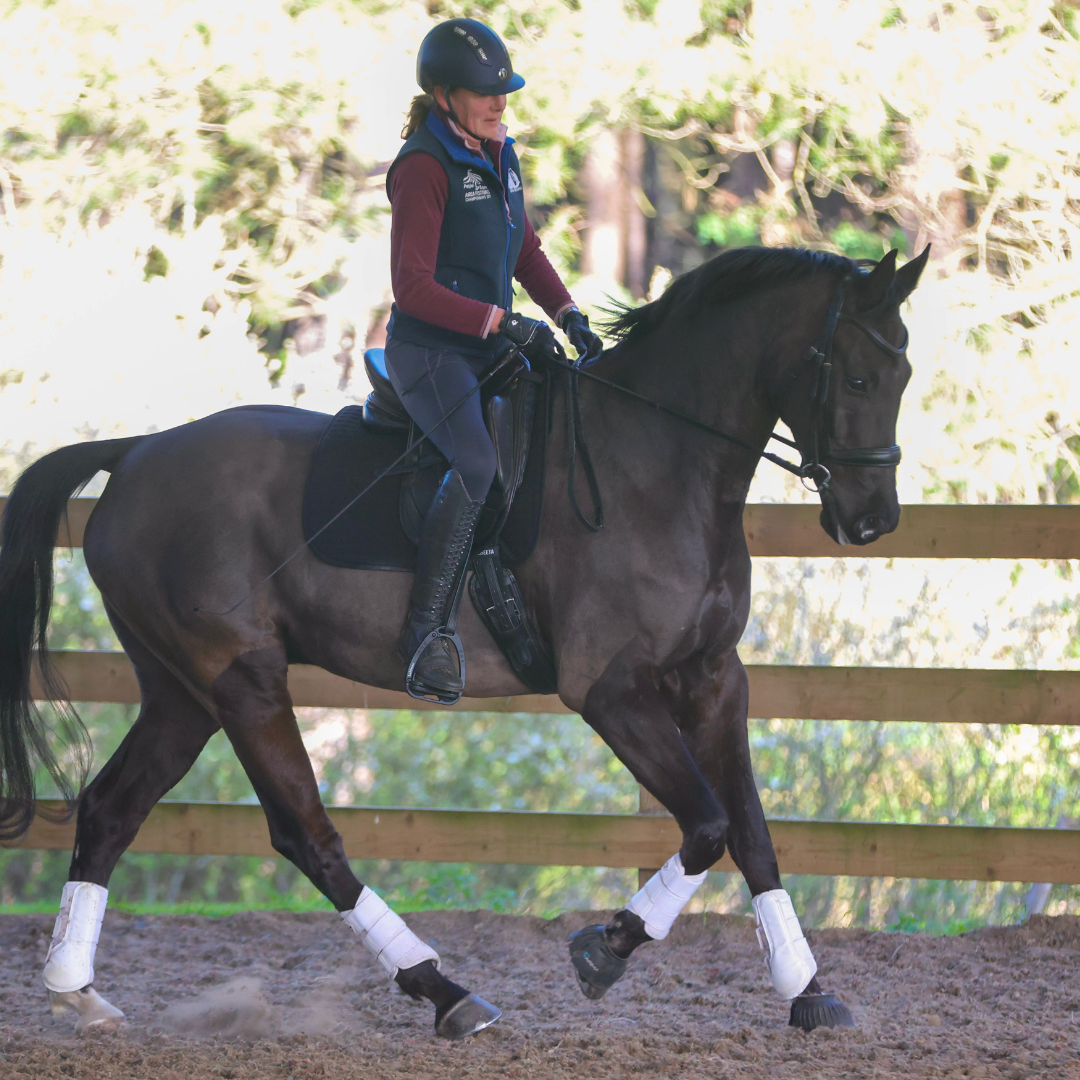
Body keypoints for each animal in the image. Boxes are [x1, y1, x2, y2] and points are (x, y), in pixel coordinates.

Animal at [0, 243, 928, 1038]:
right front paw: (602, 952)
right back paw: (442, 990)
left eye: (904, 374)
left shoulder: (712, 679)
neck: (659, 463)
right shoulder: (612, 690)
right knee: (306, 836)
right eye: (855, 375)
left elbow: (752, 833)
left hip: (180, 693)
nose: (871, 521)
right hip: (240, 680)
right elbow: (706, 824)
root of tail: (137, 454)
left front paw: (808, 990)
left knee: (112, 809)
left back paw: (77, 993)